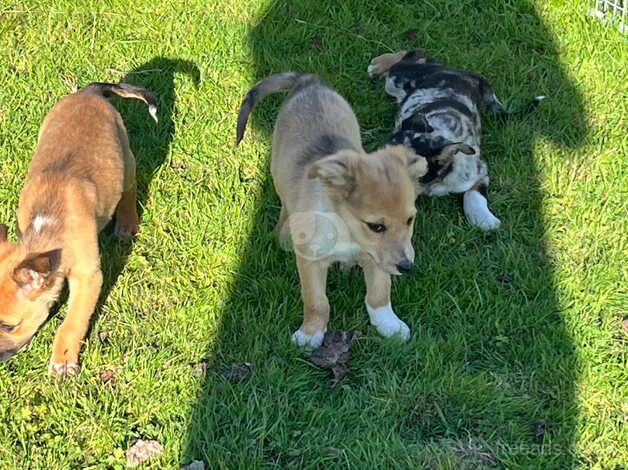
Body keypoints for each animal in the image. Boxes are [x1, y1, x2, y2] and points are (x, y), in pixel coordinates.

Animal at [0, 81, 156, 374]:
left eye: (8, 326)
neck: (47, 228)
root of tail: (89, 92)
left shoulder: (88, 277)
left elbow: (72, 323)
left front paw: (63, 361)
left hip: (125, 159)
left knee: (129, 189)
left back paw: (126, 224)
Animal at [238, 71, 430, 346]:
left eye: (410, 220)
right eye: (376, 226)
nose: (407, 266)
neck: (346, 231)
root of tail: (309, 81)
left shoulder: (375, 258)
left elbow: (379, 294)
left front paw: (389, 325)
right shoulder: (310, 262)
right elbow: (317, 302)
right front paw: (310, 333)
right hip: (278, 168)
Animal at [368, 49, 544, 229]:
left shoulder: (479, 171)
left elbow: (473, 195)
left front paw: (484, 219)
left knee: (415, 55)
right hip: (396, 81)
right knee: (413, 54)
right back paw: (378, 66)